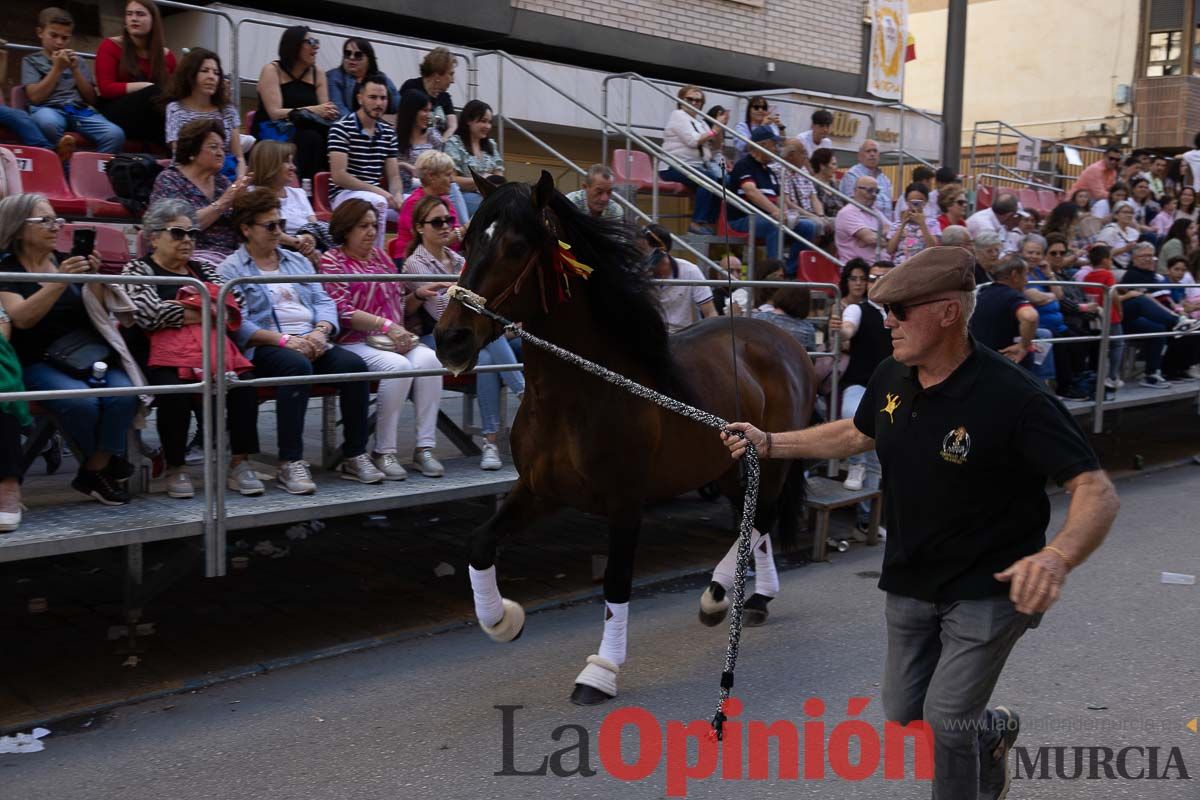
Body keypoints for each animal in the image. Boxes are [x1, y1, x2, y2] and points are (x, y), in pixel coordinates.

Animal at [436, 172, 820, 705]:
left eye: (515, 247)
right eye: (467, 239)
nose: (449, 339)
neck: (584, 392)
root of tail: (786, 342)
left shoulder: (625, 503)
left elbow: (616, 584)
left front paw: (600, 672)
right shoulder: (540, 490)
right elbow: (478, 543)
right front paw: (503, 620)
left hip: (772, 456)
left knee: (760, 517)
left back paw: (719, 595)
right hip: (726, 464)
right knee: (751, 519)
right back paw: (753, 598)